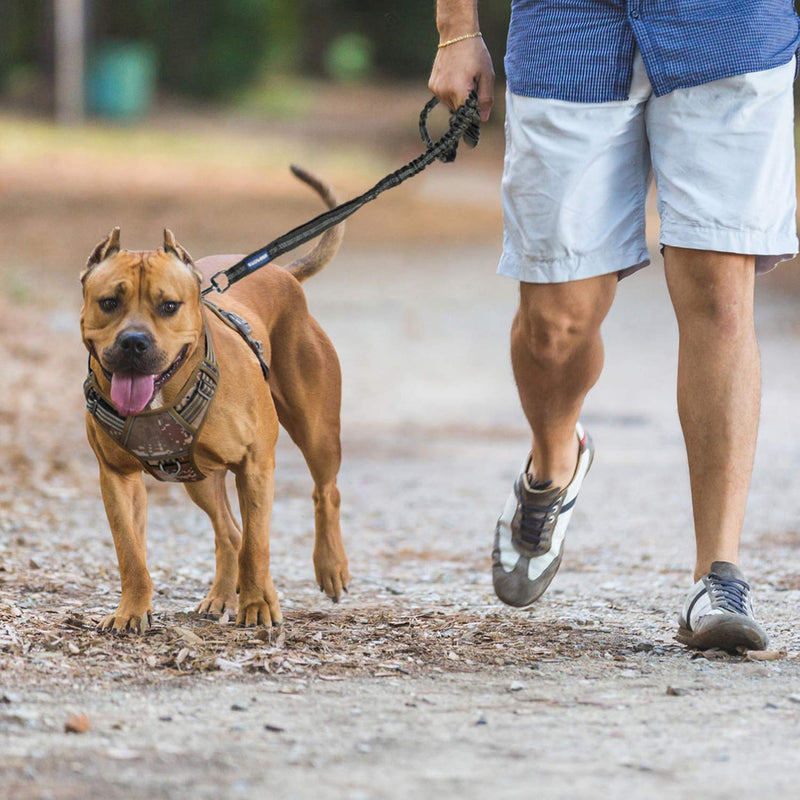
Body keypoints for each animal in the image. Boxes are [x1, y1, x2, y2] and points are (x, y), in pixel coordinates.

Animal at [80, 169, 350, 632]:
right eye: (109, 303)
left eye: (169, 306)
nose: (133, 342)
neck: (165, 397)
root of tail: (283, 274)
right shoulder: (117, 477)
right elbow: (130, 551)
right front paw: (131, 610)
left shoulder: (255, 465)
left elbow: (259, 544)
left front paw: (257, 606)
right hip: (200, 478)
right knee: (229, 533)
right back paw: (222, 595)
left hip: (317, 432)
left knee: (323, 493)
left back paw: (330, 566)